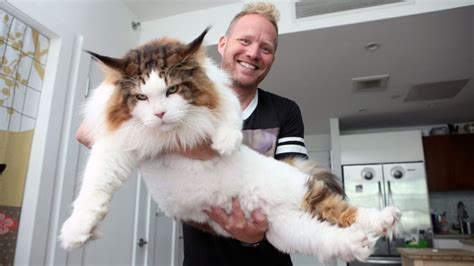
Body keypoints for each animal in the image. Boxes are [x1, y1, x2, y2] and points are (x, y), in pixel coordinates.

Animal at [59, 29, 400, 262]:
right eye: (141, 97)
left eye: (172, 90)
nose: (160, 114)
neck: (169, 134)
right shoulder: (115, 146)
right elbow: (95, 187)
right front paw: (78, 231)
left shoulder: (221, 96)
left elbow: (228, 113)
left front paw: (225, 142)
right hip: (287, 230)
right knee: (327, 237)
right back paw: (358, 244)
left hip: (303, 193)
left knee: (346, 210)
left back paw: (385, 218)